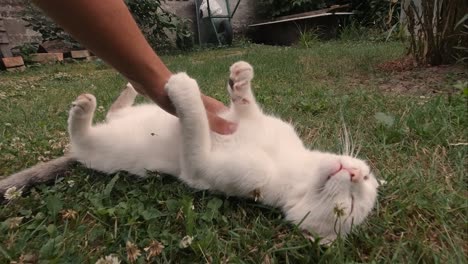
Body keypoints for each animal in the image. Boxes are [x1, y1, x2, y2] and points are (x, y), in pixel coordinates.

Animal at [2, 61, 380, 243]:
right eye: (367, 177)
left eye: (347, 208)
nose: (354, 173)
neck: (290, 163)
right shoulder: (250, 122)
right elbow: (243, 109)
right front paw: (240, 80)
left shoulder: (202, 168)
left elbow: (195, 126)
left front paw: (185, 89)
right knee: (114, 113)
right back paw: (125, 90)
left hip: (99, 150)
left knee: (82, 137)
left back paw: (83, 110)